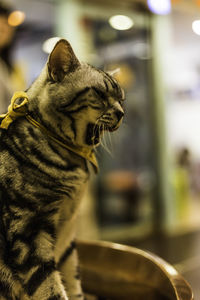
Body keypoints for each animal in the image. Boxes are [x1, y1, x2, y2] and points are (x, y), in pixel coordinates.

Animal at [0, 38, 124, 298]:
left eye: (122, 99)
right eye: (100, 93)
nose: (122, 113)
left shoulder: (66, 233)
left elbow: (71, 280)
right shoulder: (29, 231)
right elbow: (49, 286)